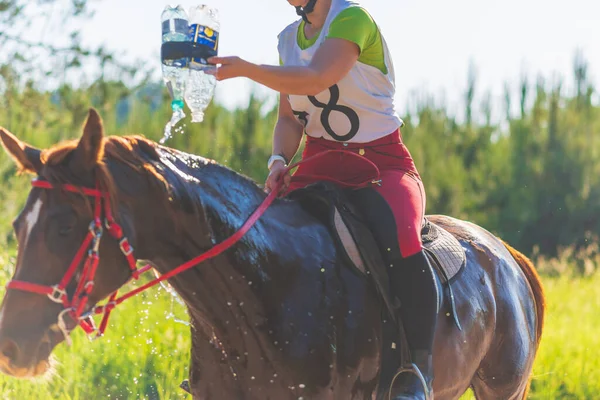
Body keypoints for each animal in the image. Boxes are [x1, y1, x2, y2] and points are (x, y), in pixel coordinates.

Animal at [0, 108, 544, 398]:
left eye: (65, 225)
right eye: (18, 227)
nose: (12, 345)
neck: (259, 288)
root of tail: (507, 257)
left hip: (500, 388)